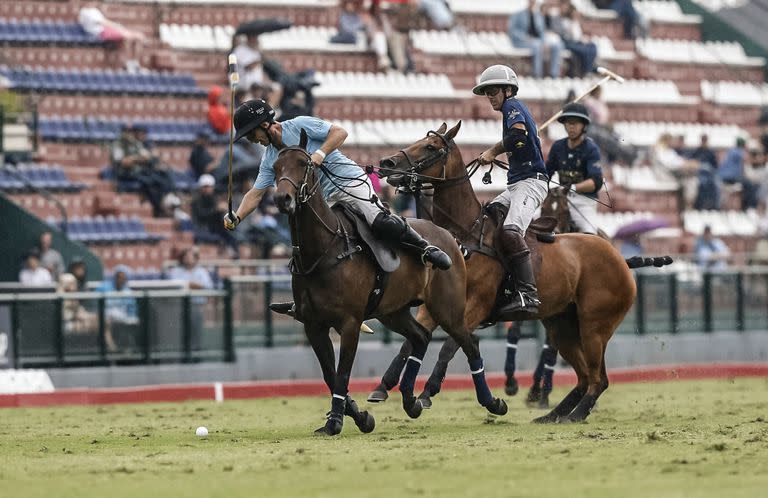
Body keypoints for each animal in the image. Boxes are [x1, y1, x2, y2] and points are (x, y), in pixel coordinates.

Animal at [272, 129, 508, 436]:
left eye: (304, 164)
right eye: (275, 168)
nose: (283, 199)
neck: (325, 249)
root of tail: (449, 235)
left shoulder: (350, 323)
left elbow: (342, 373)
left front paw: (336, 421)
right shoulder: (313, 325)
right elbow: (329, 373)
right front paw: (359, 417)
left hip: (449, 309)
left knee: (470, 344)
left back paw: (492, 403)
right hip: (393, 312)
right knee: (421, 337)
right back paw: (410, 400)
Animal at [368, 122, 668, 422]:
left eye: (430, 147)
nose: (387, 163)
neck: (466, 234)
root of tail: (621, 259)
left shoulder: (478, 305)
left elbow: (449, 346)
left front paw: (428, 392)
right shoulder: (435, 306)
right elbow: (410, 344)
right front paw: (382, 387)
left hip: (595, 326)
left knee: (598, 379)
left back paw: (574, 413)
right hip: (563, 325)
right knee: (584, 377)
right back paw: (552, 415)